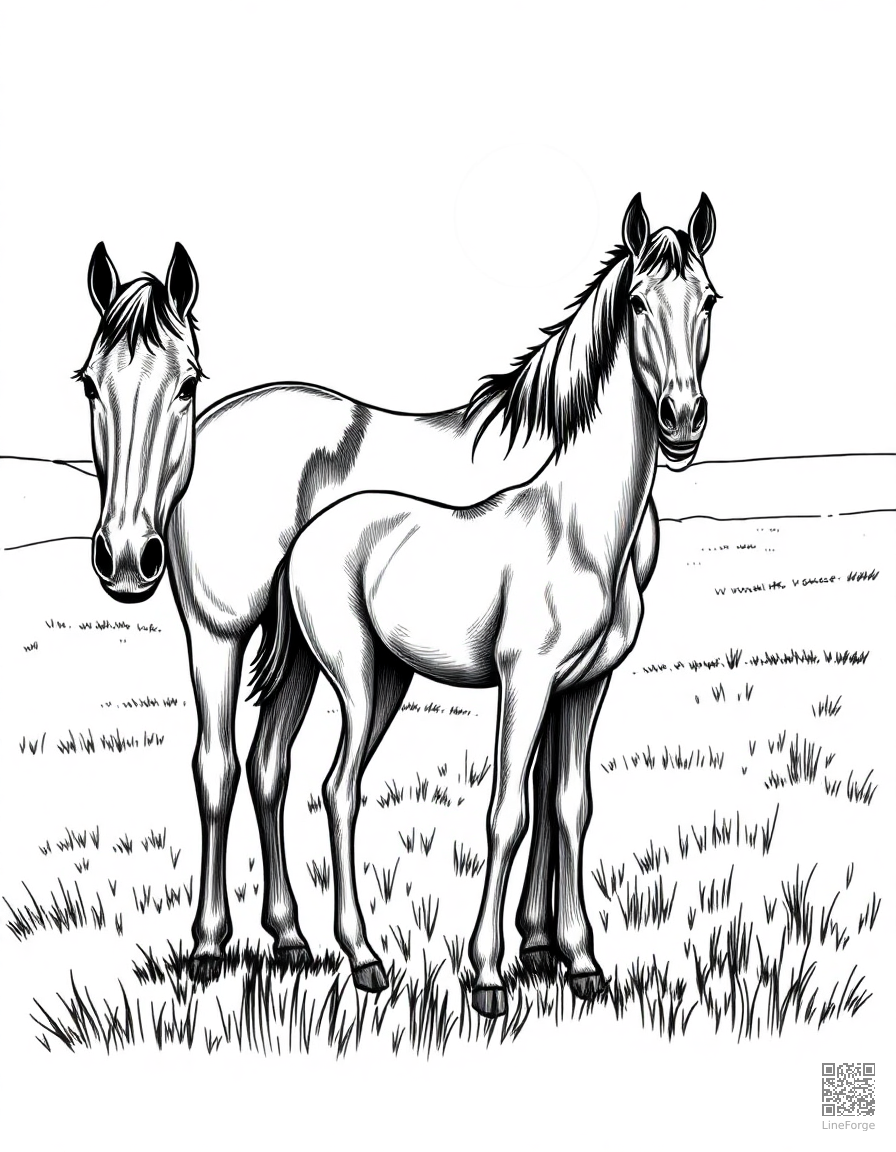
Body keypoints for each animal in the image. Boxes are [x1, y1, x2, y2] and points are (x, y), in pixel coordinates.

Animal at [249, 193, 719, 1015]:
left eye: (710, 301)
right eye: (637, 302)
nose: (682, 419)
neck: (579, 528)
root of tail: (305, 536)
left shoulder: (585, 688)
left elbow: (569, 808)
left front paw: (581, 964)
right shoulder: (524, 681)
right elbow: (509, 813)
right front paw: (488, 975)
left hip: (365, 677)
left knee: (302, 775)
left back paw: (316, 945)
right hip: (355, 676)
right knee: (337, 789)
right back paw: (364, 959)